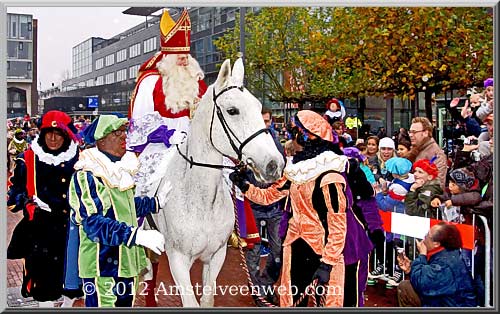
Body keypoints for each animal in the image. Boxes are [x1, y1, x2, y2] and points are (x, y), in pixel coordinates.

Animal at [152, 58, 286, 306]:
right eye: (232, 111)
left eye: (258, 107)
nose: (274, 164)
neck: (201, 200)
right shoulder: (178, 260)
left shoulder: (216, 256)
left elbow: (207, 299)